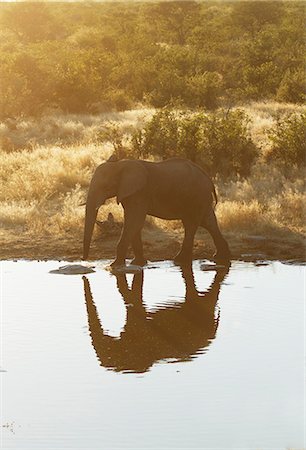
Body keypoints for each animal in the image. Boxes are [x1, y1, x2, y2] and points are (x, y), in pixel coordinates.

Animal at [82, 156, 231, 266]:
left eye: (104, 186)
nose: (85, 260)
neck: (119, 165)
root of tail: (209, 180)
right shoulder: (130, 194)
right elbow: (134, 223)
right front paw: (138, 263)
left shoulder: (139, 192)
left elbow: (134, 221)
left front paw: (114, 265)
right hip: (200, 198)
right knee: (208, 222)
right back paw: (220, 257)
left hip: (196, 196)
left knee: (191, 224)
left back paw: (180, 260)